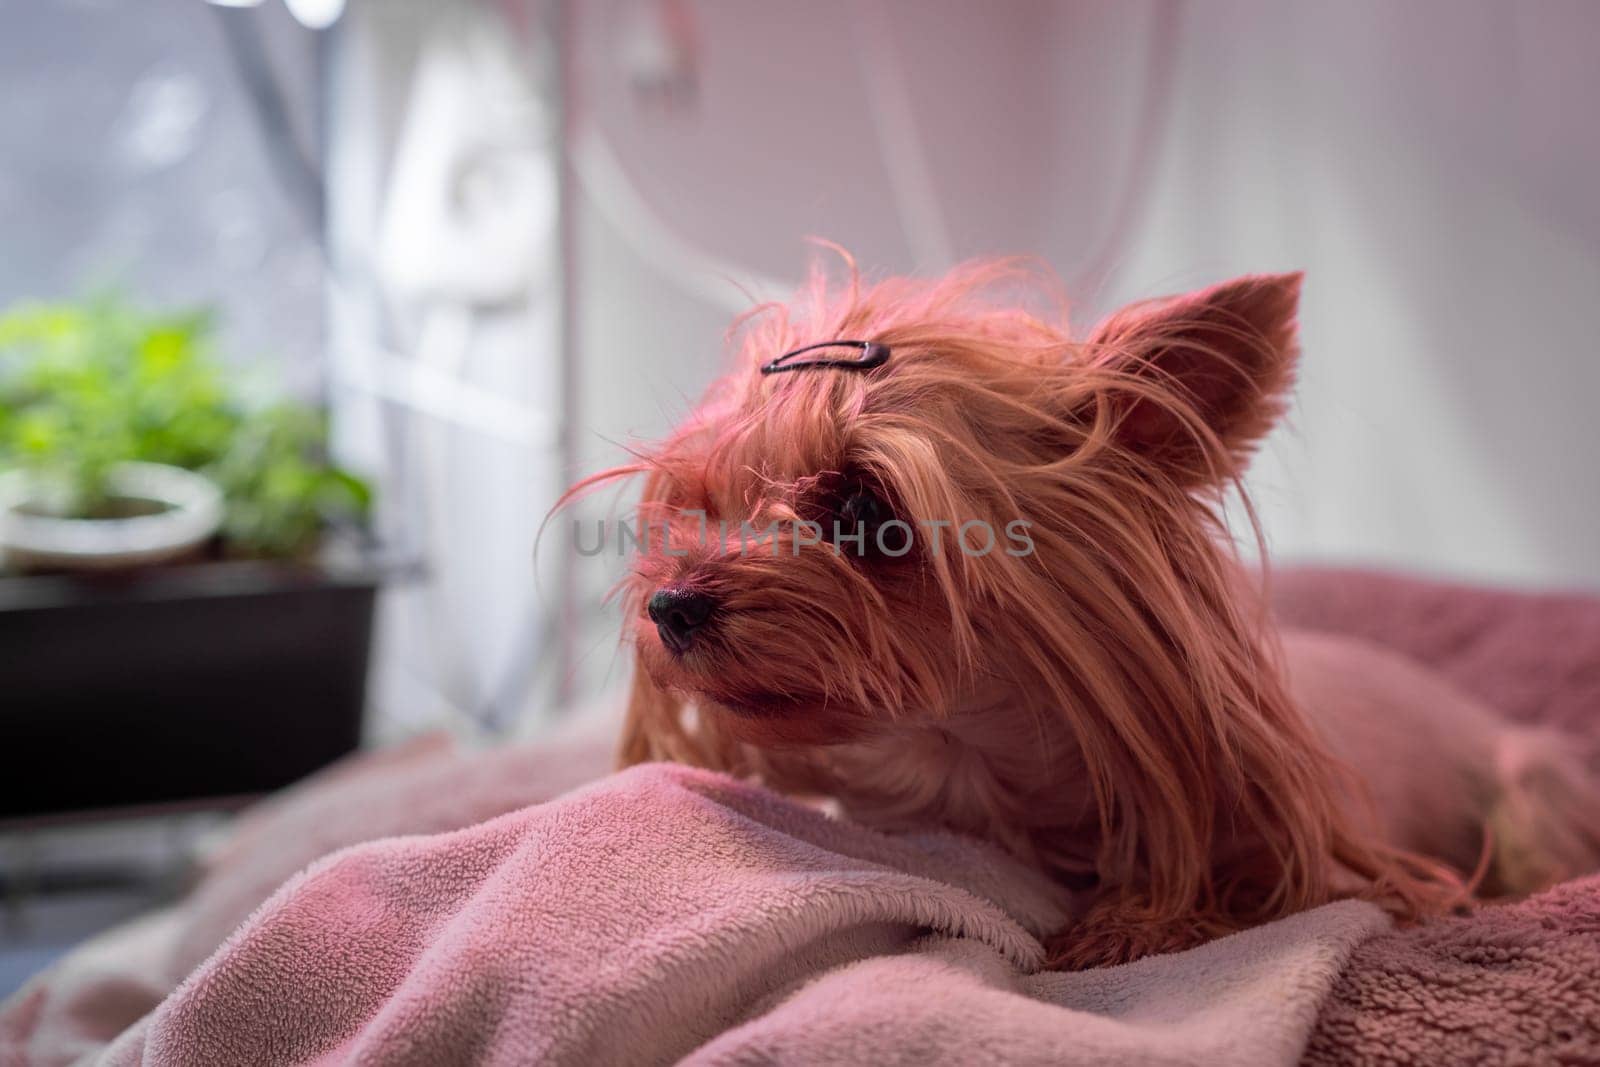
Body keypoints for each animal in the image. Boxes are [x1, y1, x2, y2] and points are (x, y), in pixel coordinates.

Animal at [569, 255, 1593, 966]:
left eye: (866, 511)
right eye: (702, 504)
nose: (670, 605)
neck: (966, 773)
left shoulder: (1327, 859)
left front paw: (1128, 926)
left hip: (1530, 783)